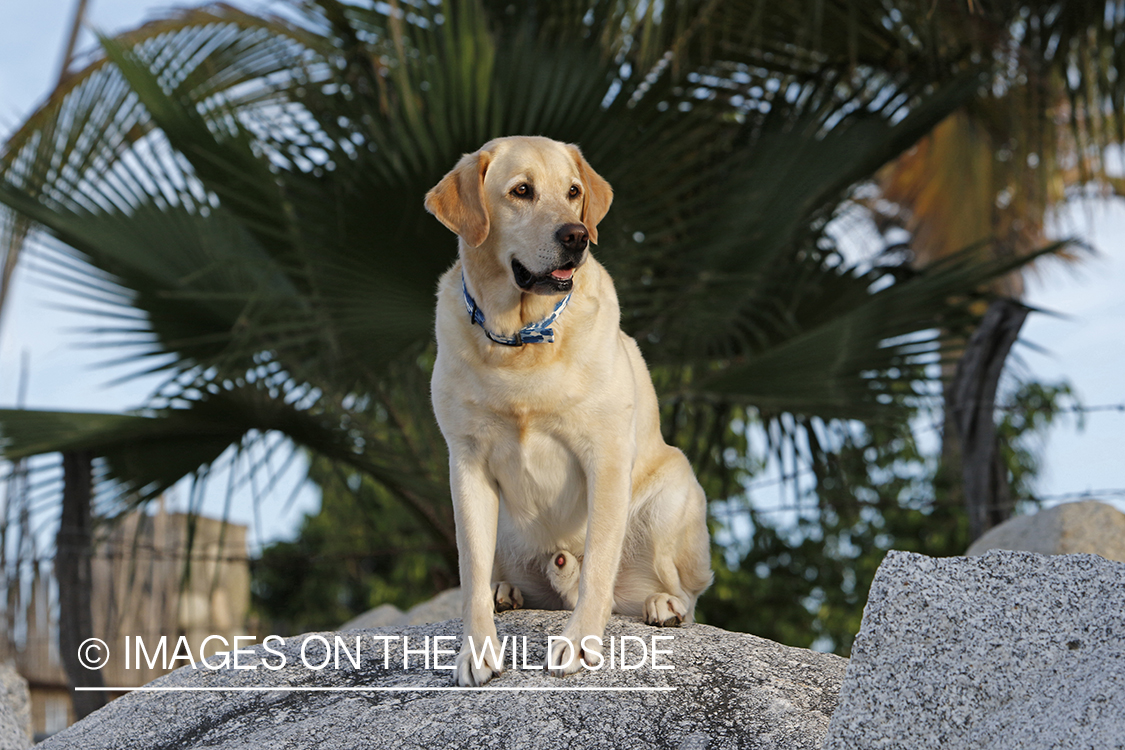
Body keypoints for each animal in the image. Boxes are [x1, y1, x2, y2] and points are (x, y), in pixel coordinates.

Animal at [425, 134, 706, 688]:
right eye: (522, 191)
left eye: (574, 191)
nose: (576, 236)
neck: (520, 339)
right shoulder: (466, 465)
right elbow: (470, 571)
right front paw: (477, 649)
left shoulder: (606, 456)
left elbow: (597, 565)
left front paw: (579, 644)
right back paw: (507, 591)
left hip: (672, 494)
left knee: (663, 591)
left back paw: (663, 603)